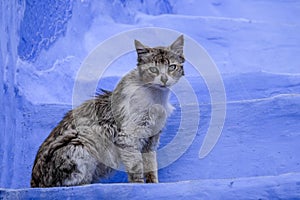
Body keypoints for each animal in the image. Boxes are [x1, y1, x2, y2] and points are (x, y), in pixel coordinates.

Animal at [31, 34, 185, 188]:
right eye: (153, 69)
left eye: (172, 67)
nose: (164, 79)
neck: (157, 98)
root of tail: (34, 182)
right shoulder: (128, 138)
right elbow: (136, 168)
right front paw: (139, 185)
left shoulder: (151, 141)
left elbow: (151, 167)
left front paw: (153, 184)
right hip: (82, 142)